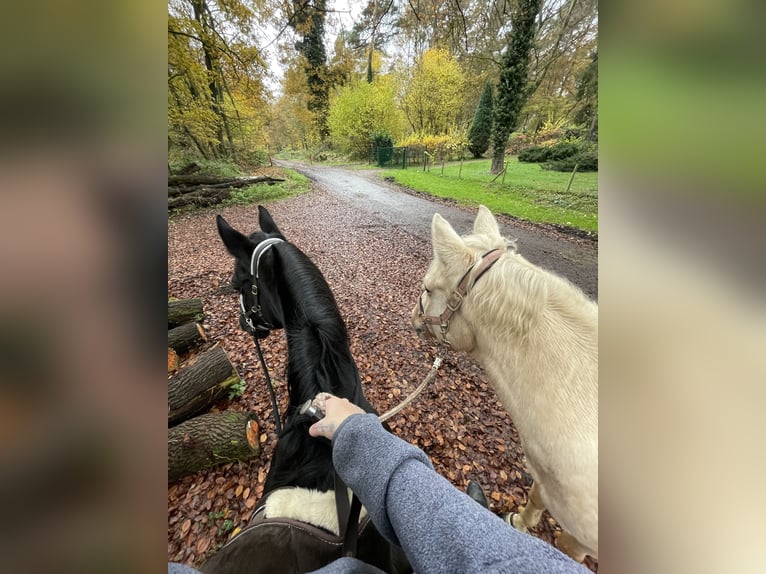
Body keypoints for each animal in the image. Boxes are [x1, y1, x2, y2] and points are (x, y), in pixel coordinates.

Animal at [414, 206, 600, 564]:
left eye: (429, 289)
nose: (413, 316)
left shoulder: (582, 537)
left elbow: (567, 547)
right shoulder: (546, 478)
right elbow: (536, 496)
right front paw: (520, 522)